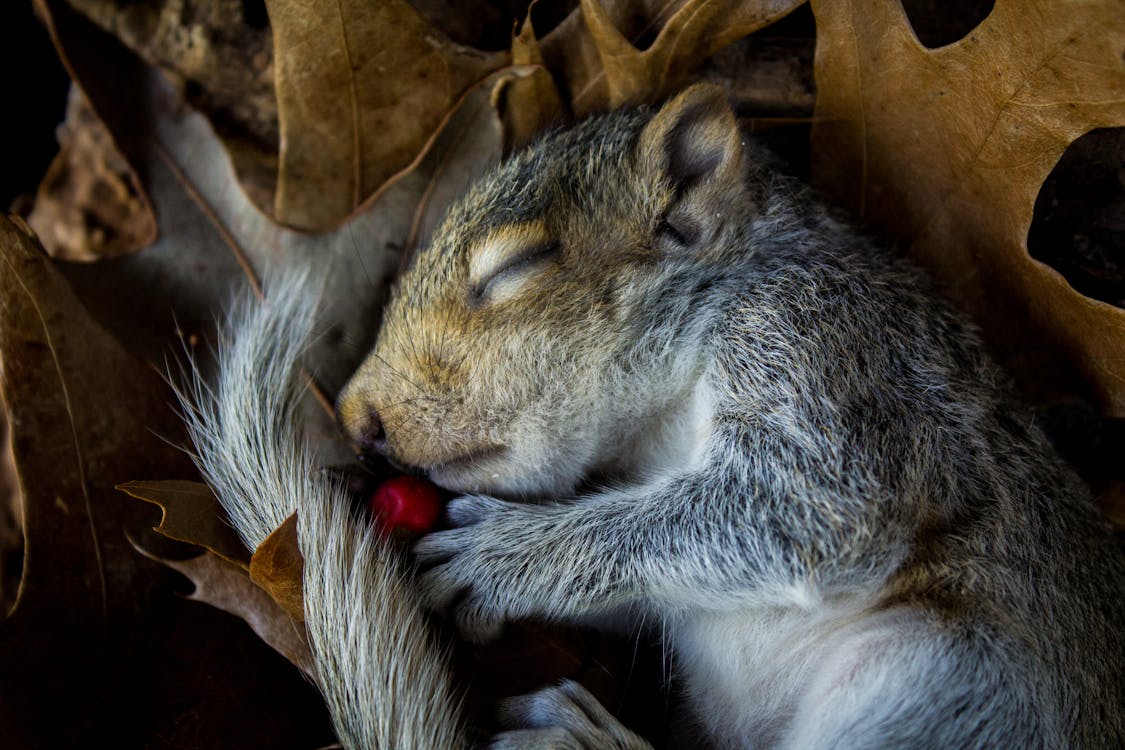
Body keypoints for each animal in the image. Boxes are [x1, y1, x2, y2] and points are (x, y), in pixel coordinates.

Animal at [180, 83, 1125, 750]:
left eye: (517, 266)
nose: (357, 419)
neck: (662, 418)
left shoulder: (831, 352)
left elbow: (804, 505)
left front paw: (501, 558)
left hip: (946, 688)